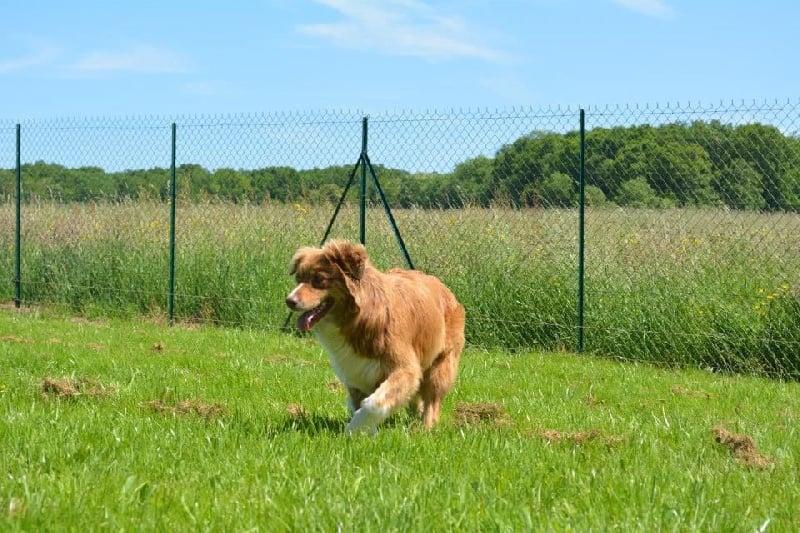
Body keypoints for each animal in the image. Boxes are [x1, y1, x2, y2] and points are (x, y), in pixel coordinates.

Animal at [285, 240, 465, 434]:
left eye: (319, 279)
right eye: (298, 279)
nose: (289, 301)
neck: (359, 317)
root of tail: (441, 284)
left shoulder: (405, 368)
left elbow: (373, 403)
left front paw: (353, 430)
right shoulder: (354, 373)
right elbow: (359, 404)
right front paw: (366, 431)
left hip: (440, 365)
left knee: (432, 401)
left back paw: (425, 428)